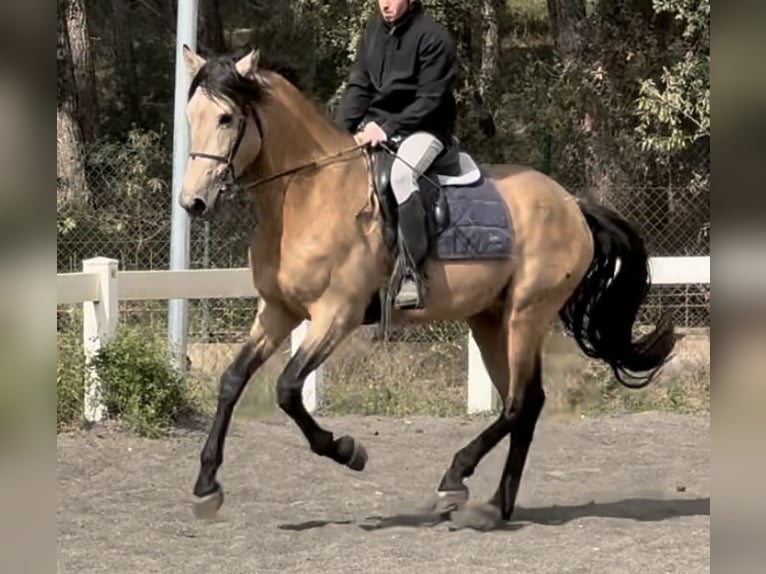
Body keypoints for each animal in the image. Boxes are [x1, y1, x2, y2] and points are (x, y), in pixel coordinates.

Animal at [177, 47, 676, 524]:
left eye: (226, 118)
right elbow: (232, 380)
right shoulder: (278, 312)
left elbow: (286, 389)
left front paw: (348, 451)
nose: (192, 202)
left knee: (519, 403)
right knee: (525, 403)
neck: (309, 193)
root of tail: (571, 204)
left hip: (527, 314)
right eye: (190, 116)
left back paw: (459, 481)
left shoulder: (336, 316)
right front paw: (205, 488)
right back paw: (495, 504)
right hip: (490, 319)